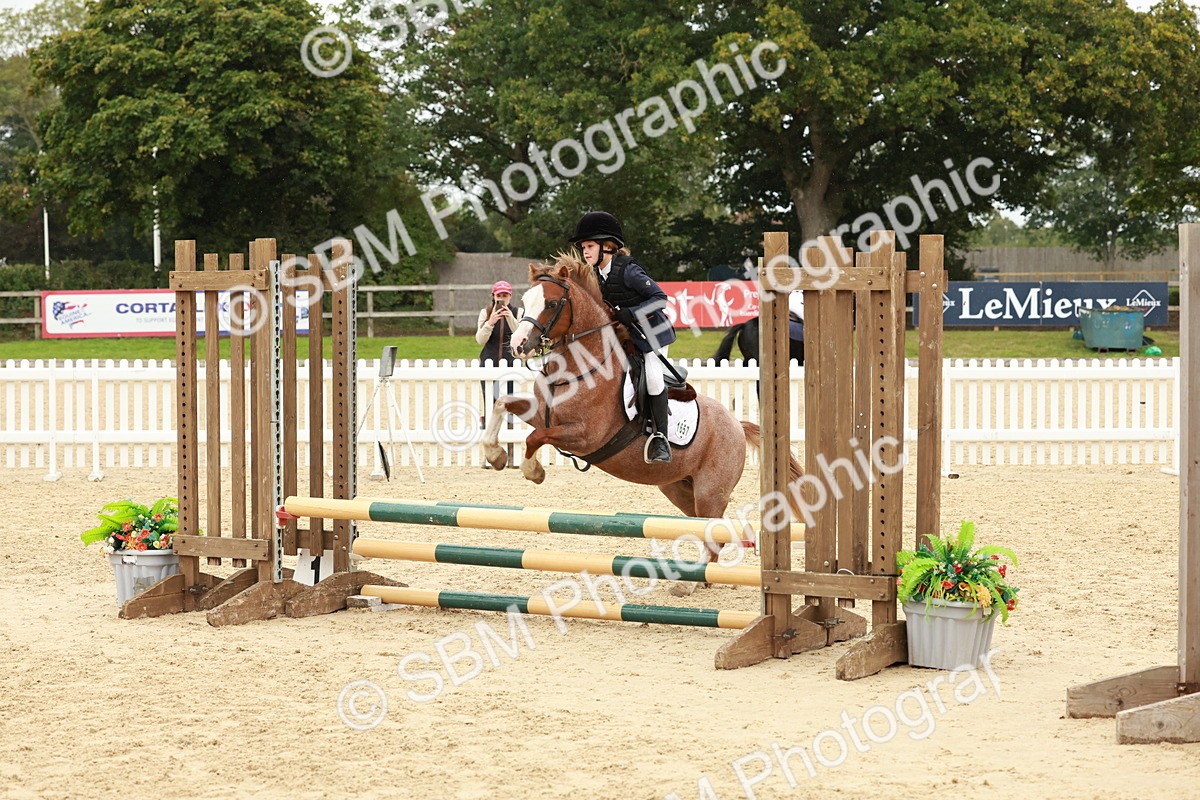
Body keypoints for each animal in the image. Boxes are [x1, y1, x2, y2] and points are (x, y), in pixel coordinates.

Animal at [480, 255, 801, 588]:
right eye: (524, 301)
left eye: (553, 303)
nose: (518, 345)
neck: (579, 367)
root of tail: (738, 425)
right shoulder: (542, 414)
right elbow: (503, 405)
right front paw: (496, 455)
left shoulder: (584, 436)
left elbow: (535, 437)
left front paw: (533, 471)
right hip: (678, 489)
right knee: (713, 530)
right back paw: (704, 578)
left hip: (710, 490)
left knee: (713, 533)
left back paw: (690, 584)